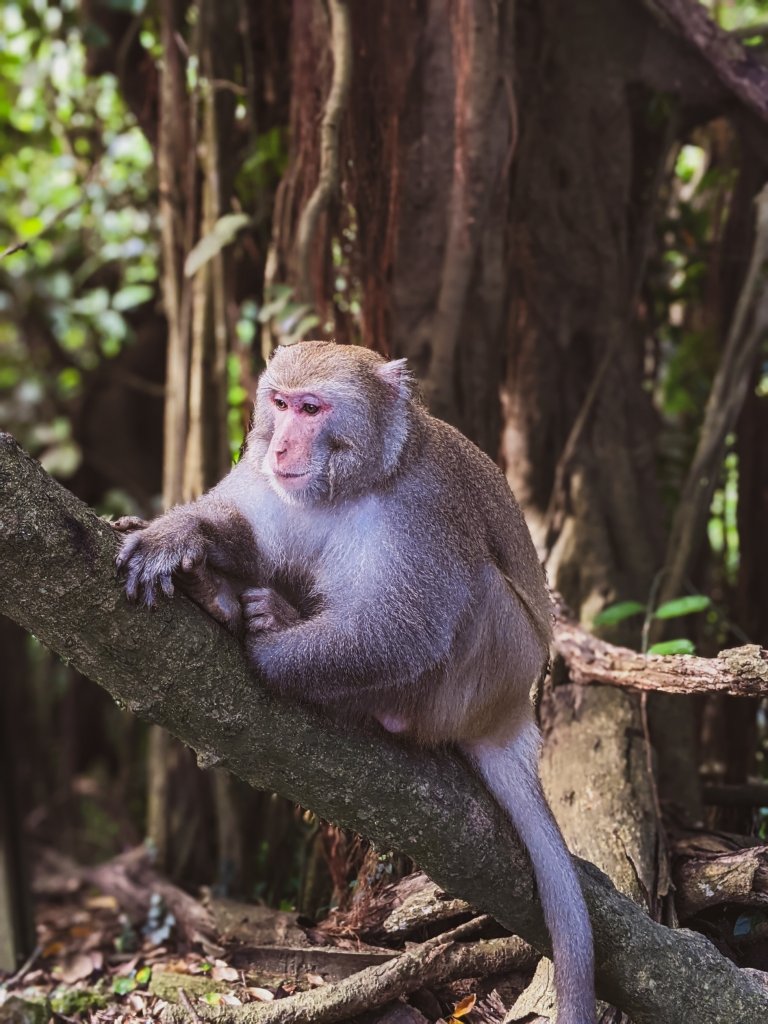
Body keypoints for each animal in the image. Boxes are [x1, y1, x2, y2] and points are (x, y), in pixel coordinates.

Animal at [115, 344, 593, 1024]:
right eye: (280, 403)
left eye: (313, 409)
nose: (281, 446)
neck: (352, 483)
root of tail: (510, 720)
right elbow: (249, 531)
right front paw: (182, 537)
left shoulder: (424, 505)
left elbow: (402, 631)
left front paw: (264, 649)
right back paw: (220, 592)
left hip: (482, 675)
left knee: (465, 599)